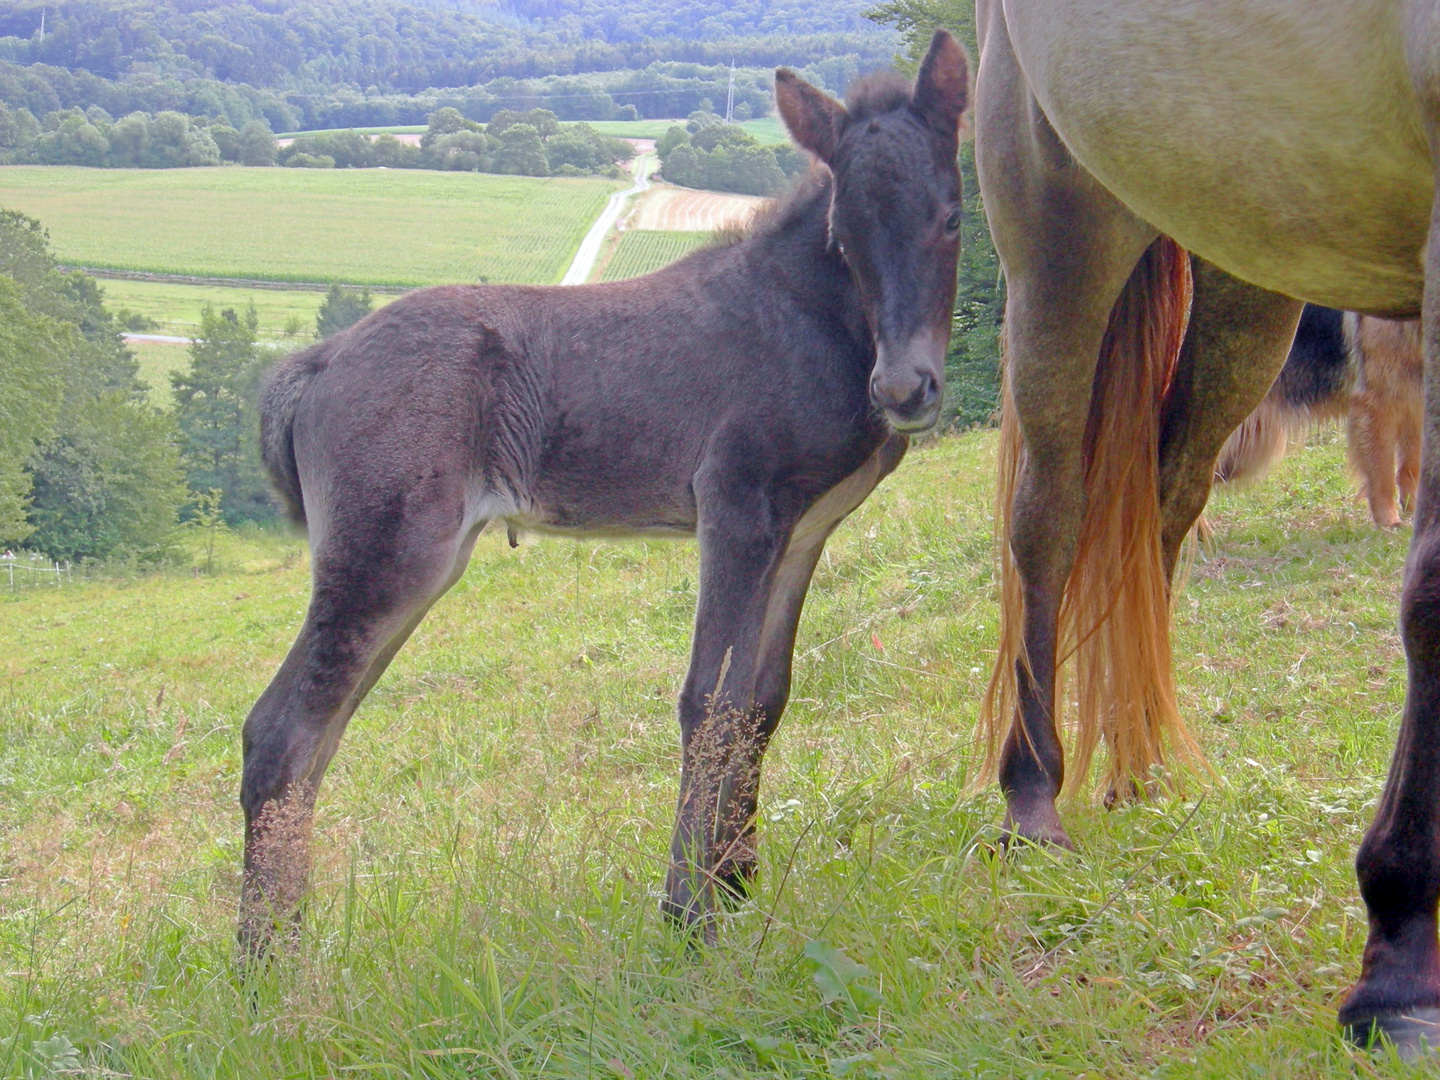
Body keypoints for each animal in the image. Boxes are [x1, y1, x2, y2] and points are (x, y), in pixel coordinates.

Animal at [241, 31, 973, 956]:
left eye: (952, 217)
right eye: (844, 236)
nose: (905, 390)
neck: (812, 321)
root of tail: (321, 361)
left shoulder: (804, 532)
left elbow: (763, 701)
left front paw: (737, 884)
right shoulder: (737, 509)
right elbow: (711, 700)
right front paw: (690, 919)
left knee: (317, 738)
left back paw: (290, 941)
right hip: (388, 554)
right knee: (281, 732)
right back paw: (266, 965)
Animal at [979, 0, 1440, 1054]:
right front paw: (1400, 970)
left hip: (1248, 259)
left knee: (1164, 499)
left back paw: (1138, 763)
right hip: (1061, 226)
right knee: (1048, 520)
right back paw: (1034, 800)